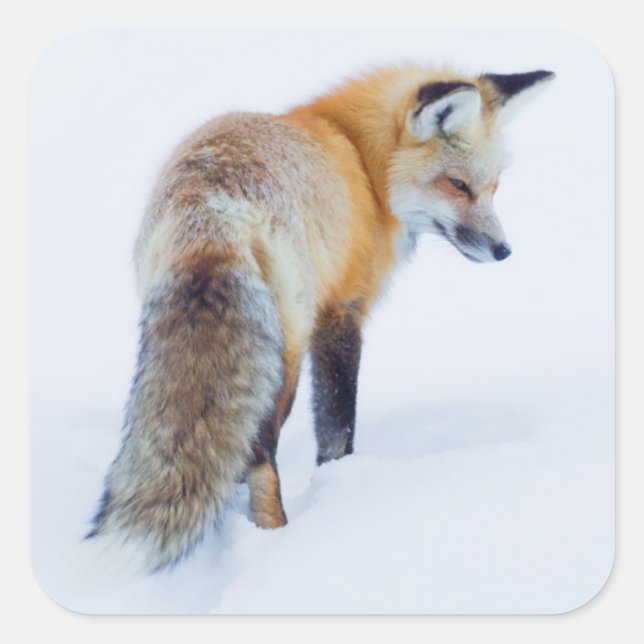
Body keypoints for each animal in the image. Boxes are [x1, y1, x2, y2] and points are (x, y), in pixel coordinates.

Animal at [87, 64, 554, 571]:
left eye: (493, 187)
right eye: (458, 185)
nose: (503, 250)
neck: (361, 161)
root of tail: (211, 208)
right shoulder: (340, 312)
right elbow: (336, 425)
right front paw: (338, 482)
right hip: (285, 353)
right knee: (259, 449)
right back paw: (273, 534)